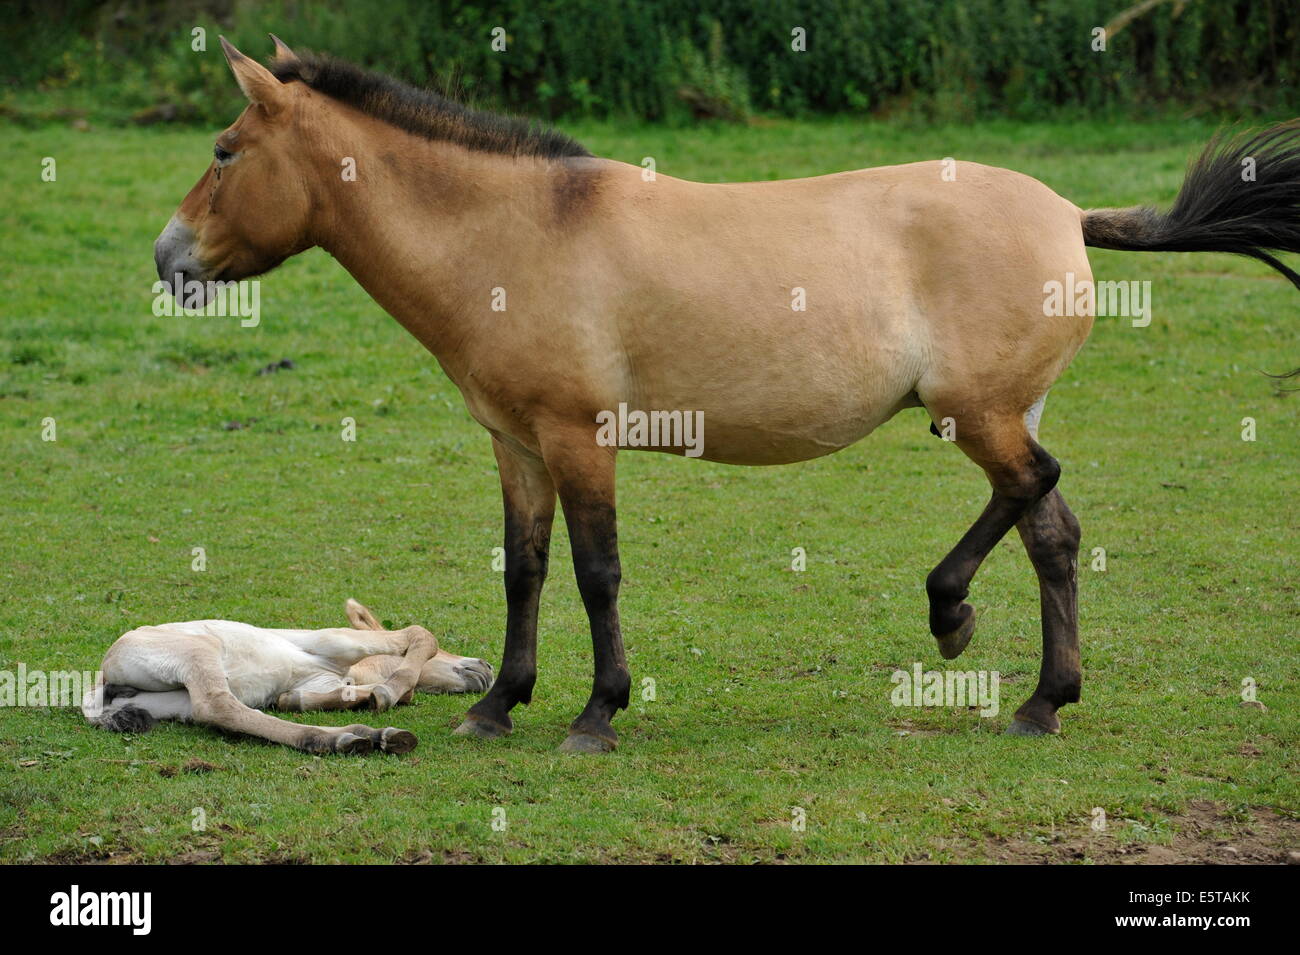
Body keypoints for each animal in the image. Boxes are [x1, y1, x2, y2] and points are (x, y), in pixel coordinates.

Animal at [154, 36, 1300, 752]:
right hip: (999, 413)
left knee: (1034, 493)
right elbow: (525, 570)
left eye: (224, 151)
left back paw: (953, 616)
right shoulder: (516, 444)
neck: (515, 233)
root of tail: (1067, 211)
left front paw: (595, 714)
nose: (168, 259)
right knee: (1051, 528)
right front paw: (499, 708)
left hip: (980, 414)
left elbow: (596, 574)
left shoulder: (579, 437)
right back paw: (1040, 700)